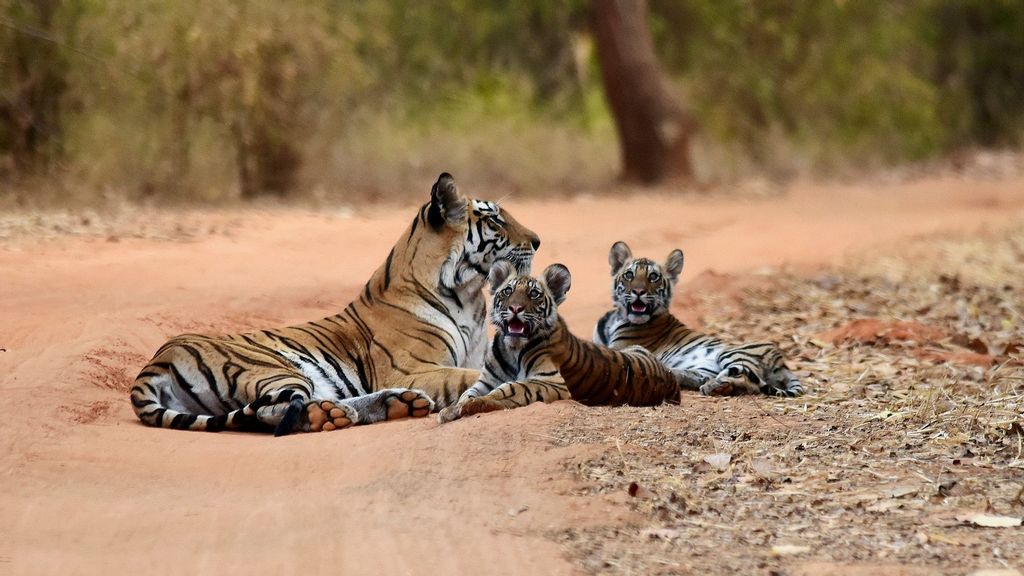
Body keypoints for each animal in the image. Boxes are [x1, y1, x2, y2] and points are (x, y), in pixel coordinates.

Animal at [438, 260, 684, 422]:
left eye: (534, 294)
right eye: (507, 291)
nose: (515, 308)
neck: (512, 348)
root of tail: (671, 380)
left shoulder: (551, 381)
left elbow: (511, 388)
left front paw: (474, 405)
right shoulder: (486, 380)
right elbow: (467, 393)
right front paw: (452, 409)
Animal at [593, 239, 806, 397]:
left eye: (653, 277)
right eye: (629, 275)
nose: (638, 291)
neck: (616, 318)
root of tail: (781, 361)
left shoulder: (619, 348)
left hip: (732, 354)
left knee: (745, 380)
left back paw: (712, 386)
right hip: (706, 367)